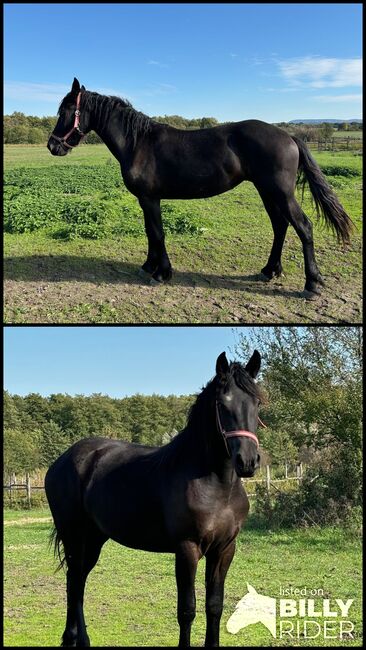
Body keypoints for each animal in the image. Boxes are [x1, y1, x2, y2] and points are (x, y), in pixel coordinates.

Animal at [45, 350, 264, 644]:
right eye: (222, 402)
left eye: (256, 402)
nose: (247, 461)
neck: (218, 485)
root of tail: (64, 460)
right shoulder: (186, 549)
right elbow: (187, 610)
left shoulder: (224, 549)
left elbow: (214, 606)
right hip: (74, 535)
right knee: (75, 581)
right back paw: (78, 639)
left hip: (94, 538)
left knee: (77, 580)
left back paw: (74, 638)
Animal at [47, 78, 354, 298]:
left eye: (67, 111)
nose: (52, 145)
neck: (139, 143)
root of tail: (289, 136)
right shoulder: (146, 200)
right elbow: (149, 232)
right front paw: (149, 266)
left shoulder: (151, 198)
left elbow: (157, 233)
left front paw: (162, 274)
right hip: (267, 192)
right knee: (280, 226)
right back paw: (269, 271)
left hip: (281, 193)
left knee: (304, 227)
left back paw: (311, 285)